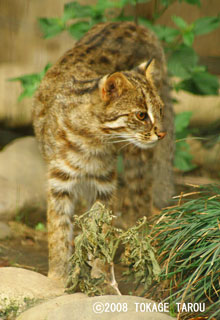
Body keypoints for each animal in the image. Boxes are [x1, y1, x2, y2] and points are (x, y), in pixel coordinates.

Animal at [32, 21, 174, 284]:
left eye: (159, 110)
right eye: (141, 115)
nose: (162, 133)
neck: (93, 140)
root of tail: (132, 24)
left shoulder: (104, 183)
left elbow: (102, 229)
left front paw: (101, 274)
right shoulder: (59, 181)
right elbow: (58, 230)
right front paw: (57, 277)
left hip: (137, 160)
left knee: (140, 202)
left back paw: (138, 245)